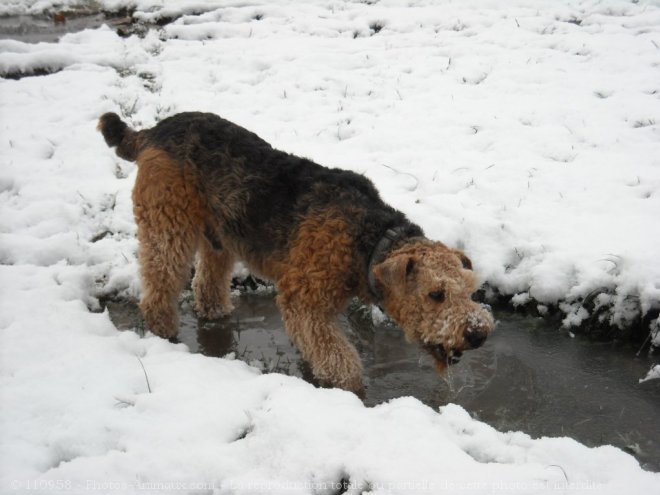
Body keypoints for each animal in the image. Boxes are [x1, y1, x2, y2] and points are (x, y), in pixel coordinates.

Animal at [98, 112, 496, 396]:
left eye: (469, 290)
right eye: (436, 294)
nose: (479, 334)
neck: (369, 242)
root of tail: (153, 131)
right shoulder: (304, 300)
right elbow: (340, 359)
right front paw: (349, 390)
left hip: (219, 238)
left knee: (206, 283)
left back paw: (215, 313)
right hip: (168, 225)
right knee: (159, 285)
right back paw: (164, 332)